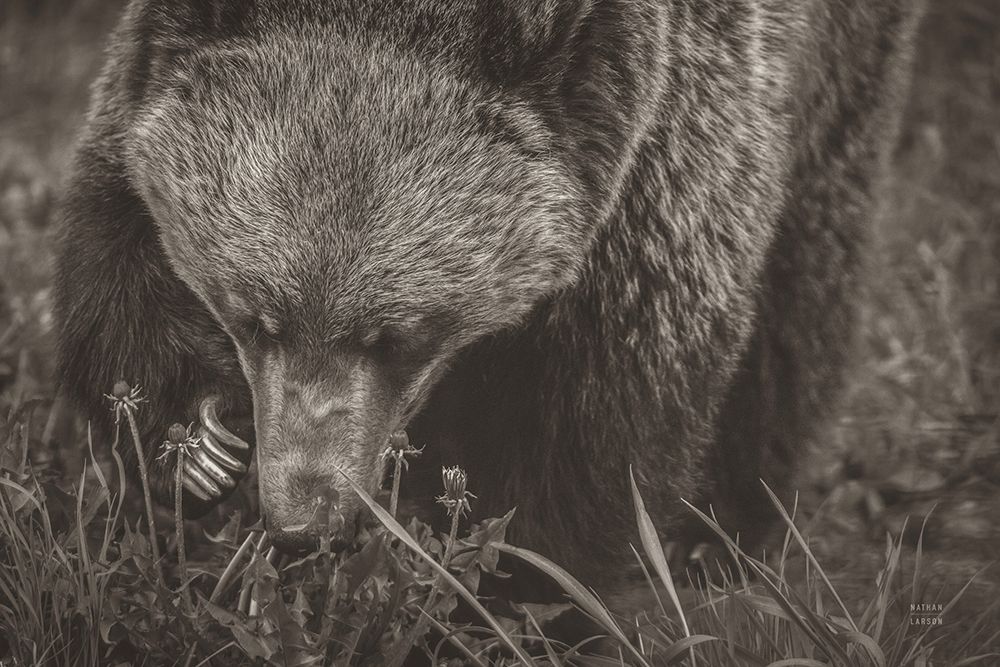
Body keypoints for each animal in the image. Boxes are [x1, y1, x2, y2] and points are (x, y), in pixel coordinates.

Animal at [54, 0, 925, 595]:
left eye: (396, 335)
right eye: (255, 316)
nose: (307, 517)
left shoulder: (665, 148)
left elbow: (594, 415)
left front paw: (520, 584)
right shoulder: (145, 93)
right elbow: (117, 258)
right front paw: (193, 444)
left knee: (802, 296)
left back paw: (727, 533)